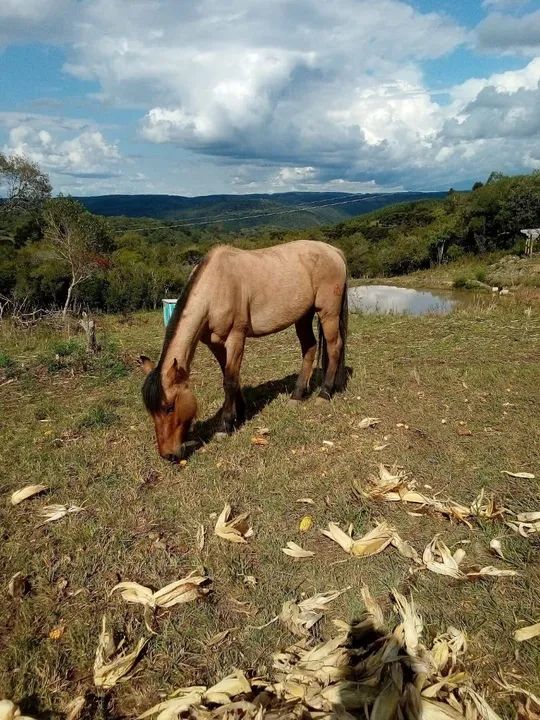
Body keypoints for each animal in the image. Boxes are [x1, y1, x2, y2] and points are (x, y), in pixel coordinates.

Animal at [140, 239, 348, 461]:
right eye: (151, 411)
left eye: (169, 407)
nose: (168, 454)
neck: (217, 286)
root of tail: (334, 251)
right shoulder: (214, 343)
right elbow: (230, 376)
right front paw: (240, 413)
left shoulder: (236, 337)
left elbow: (230, 381)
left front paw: (226, 426)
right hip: (303, 315)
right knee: (309, 348)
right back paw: (296, 396)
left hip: (328, 312)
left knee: (334, 348)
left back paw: (324, 394)